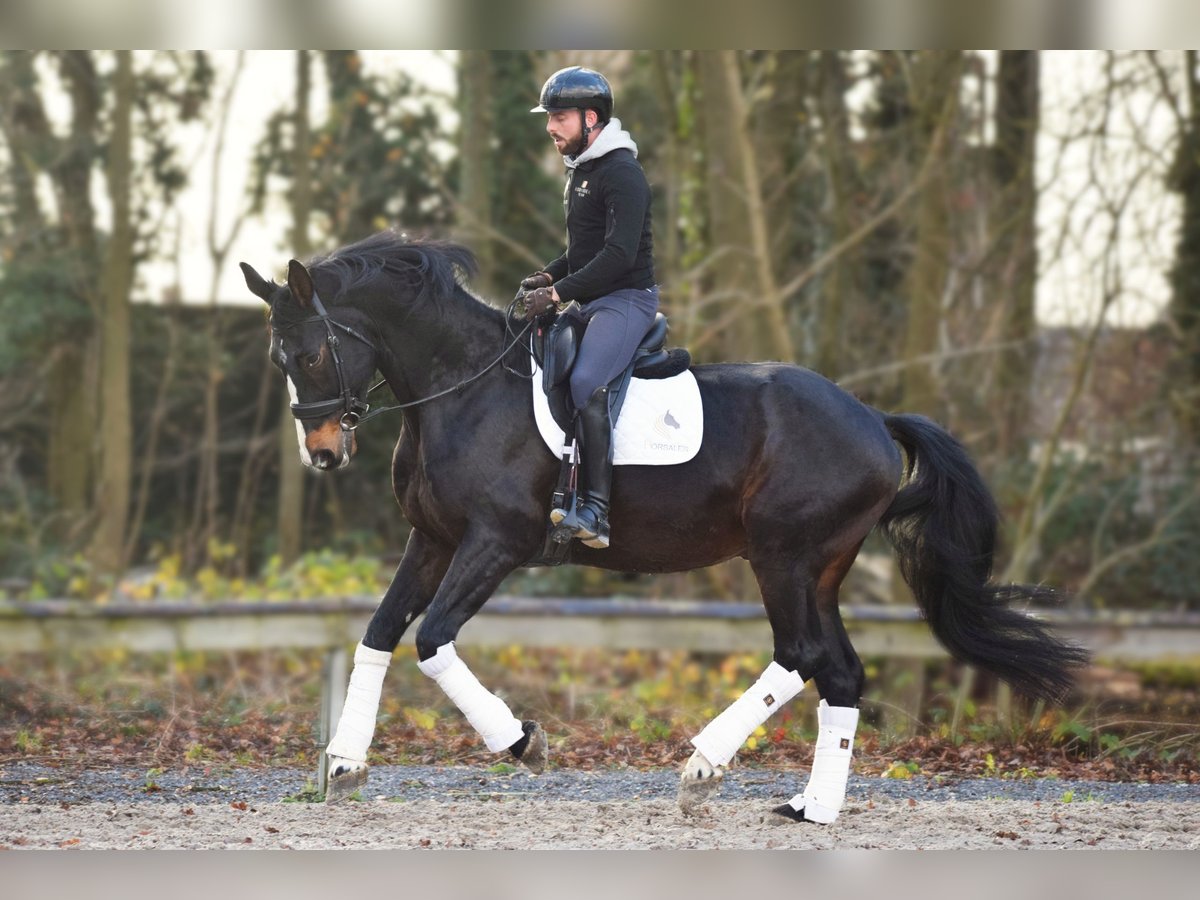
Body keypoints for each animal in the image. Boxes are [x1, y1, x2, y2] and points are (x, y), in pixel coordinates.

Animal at [241, 232, 1089, 825]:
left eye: (311, 354)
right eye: (278, 360)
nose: (323, 453)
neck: (462, 387)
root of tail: (875, 421)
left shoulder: (496, 544)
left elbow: (432, 639)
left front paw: (522, 743)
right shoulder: (435, 539)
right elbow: (381, 632)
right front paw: (345, 761)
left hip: (784, 555)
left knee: (801, 654)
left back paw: (702, 770)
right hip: (819, 566)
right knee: (840, 671)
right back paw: (811, 809)